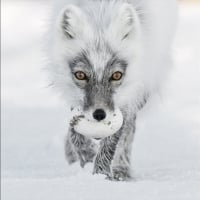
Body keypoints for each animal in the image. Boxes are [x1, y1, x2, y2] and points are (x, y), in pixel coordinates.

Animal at [47, 0, 177, 180]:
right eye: (80, 75)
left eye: (116, 75)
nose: (99, 115)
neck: (100, 15)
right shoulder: (74, 95)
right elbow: (75, 131)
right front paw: (86, 156)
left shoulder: (127, 98)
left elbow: (113, 140)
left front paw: (100, 175)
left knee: (129, 130)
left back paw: (121, 169)